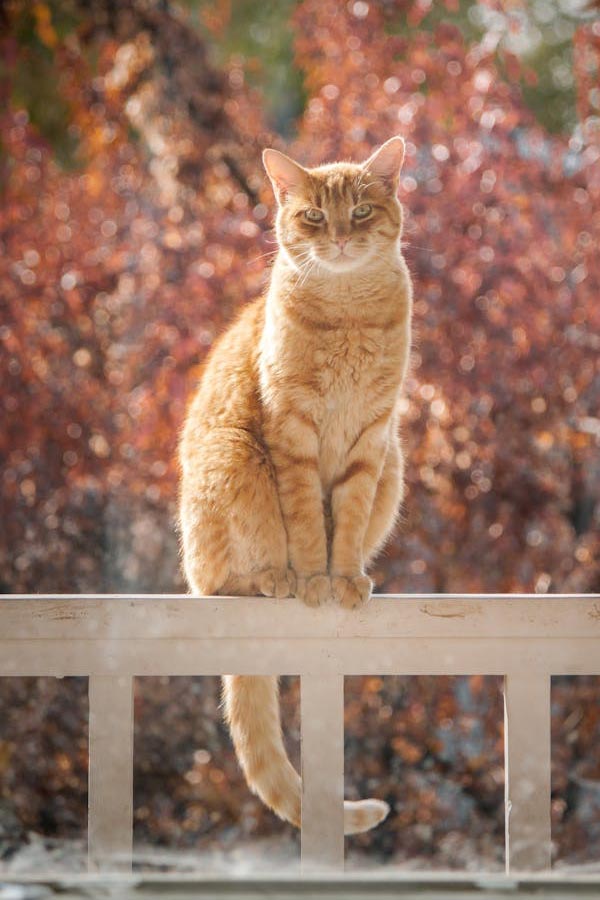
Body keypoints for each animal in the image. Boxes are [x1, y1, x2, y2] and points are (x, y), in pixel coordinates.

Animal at [179, 135, 412, 836]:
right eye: (312, 216)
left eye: (360, 212)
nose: (336, 238)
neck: (348, 315)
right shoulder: (294, 436)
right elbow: (308, 520)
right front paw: (314, 579)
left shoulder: (371, 441)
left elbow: (348, 521)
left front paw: (343, 578)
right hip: (234, 457)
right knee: (222, 583)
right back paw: (274, 578)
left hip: (394, 462)